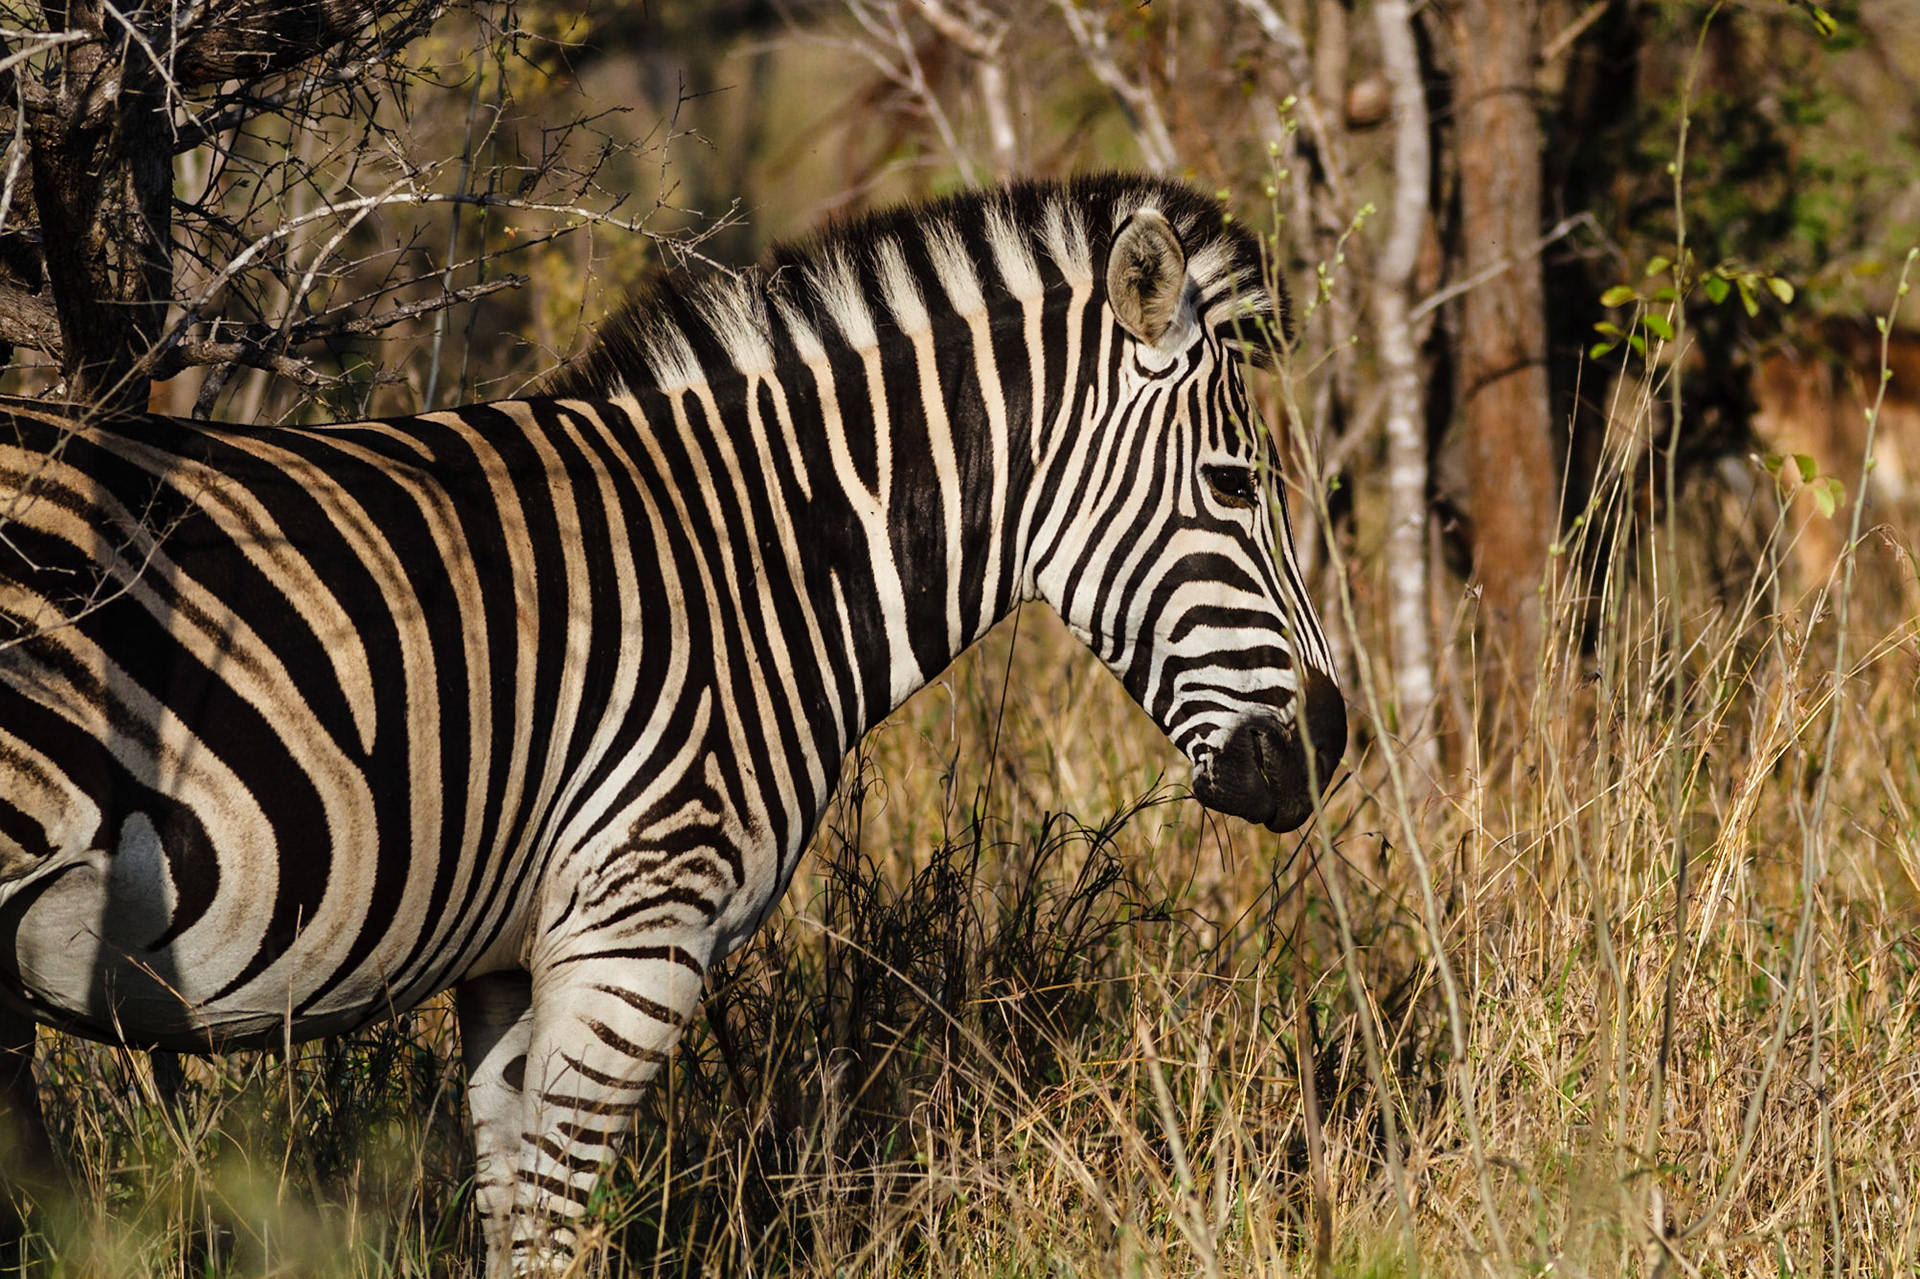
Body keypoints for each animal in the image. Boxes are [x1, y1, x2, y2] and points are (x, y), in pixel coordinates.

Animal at [0, 173, 1345, 1272]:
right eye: (1236, 485)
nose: (1329, 746)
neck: (760, 558)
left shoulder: (510, 956)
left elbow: (507, 1219)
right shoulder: (640, 929)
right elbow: (551, 1231)